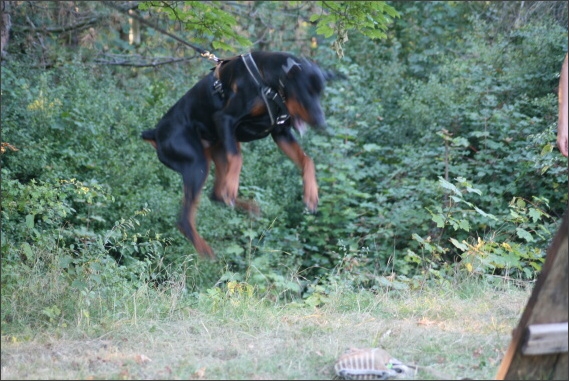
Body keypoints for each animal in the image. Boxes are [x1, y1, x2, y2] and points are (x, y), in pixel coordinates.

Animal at [142, 50, 336, 258]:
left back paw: (247, 206)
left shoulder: (280, 133)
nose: (322, 124)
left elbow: (308, 160)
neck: (267, 81)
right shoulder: (225, 119)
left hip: (218, 148)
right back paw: (206, 249)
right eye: (305, 92)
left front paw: (311, 194)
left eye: (320, 93)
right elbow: (237, 158)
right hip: (197, 162)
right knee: (185, 219)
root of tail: (156, 133)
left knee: (216, 195)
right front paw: (232, 186)